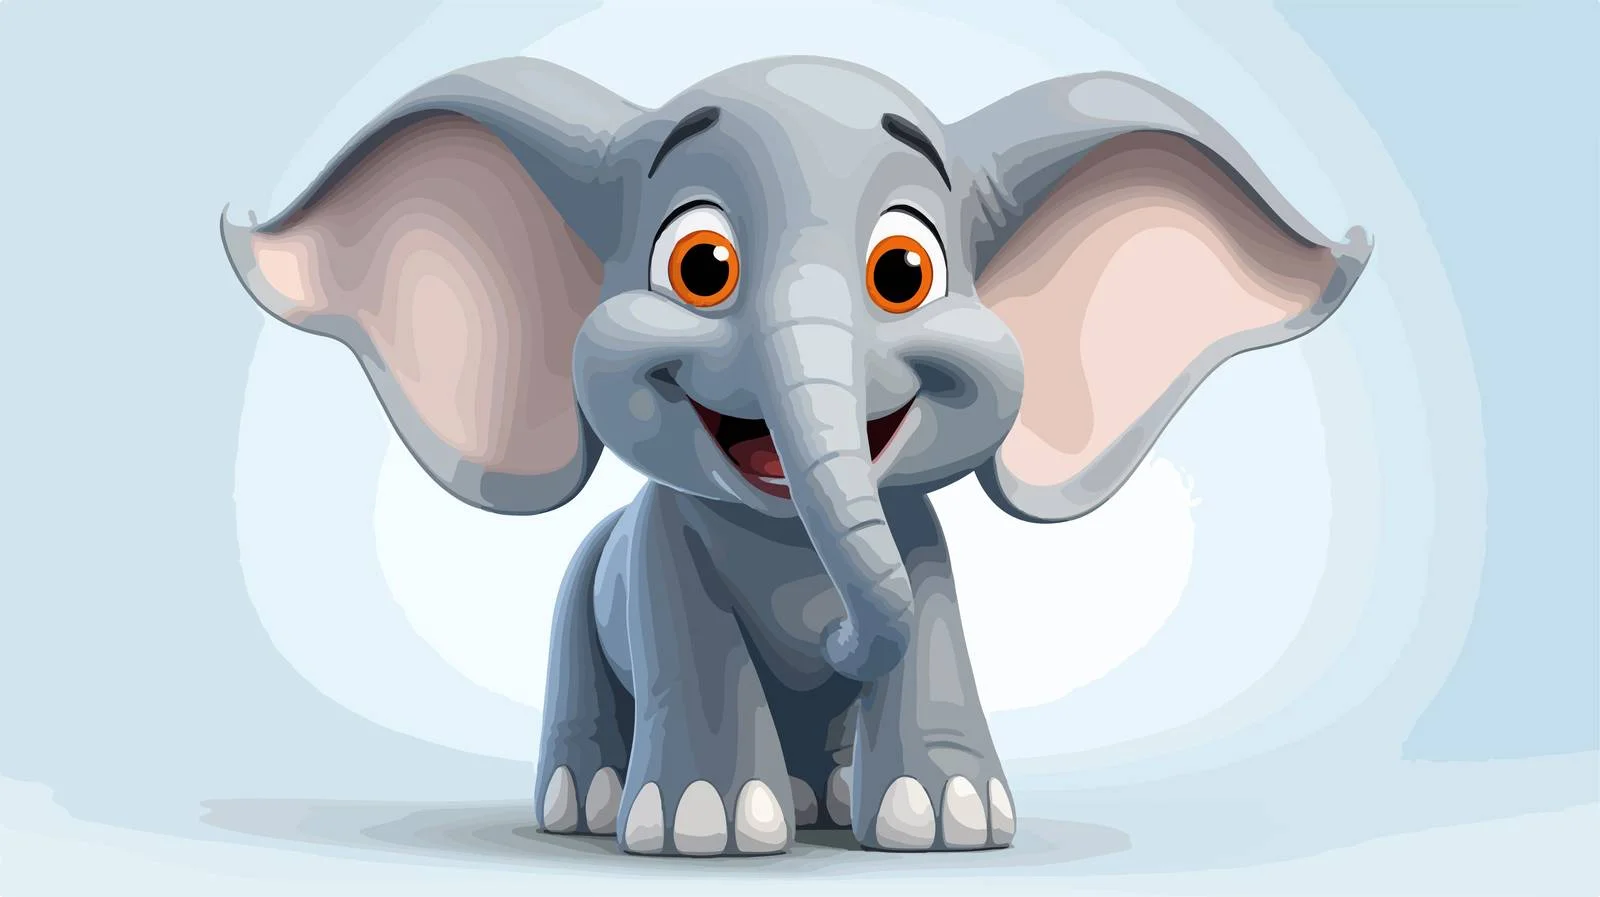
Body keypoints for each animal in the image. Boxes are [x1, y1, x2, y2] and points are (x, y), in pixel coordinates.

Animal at [220, 55, 1370, 857]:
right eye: (700, 266)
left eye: (904, 272)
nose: (832, 647)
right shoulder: (653, 556)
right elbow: (690, 637)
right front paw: (705, 828)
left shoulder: (923, 551)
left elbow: (926, 620)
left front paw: (948, 820)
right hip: (578, 592)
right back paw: (589, 806)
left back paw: (831, 798)